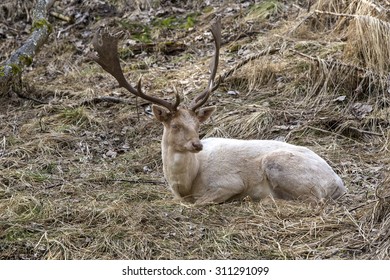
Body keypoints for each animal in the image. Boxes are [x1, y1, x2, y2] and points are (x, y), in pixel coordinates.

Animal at [92, 18, 348, 205]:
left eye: (198, 125)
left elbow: (199, 203)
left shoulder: (229, 182)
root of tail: (338, 183)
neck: (186, 184)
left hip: (280, 166)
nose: (197, 144)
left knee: (312, 199)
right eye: (175, 125)